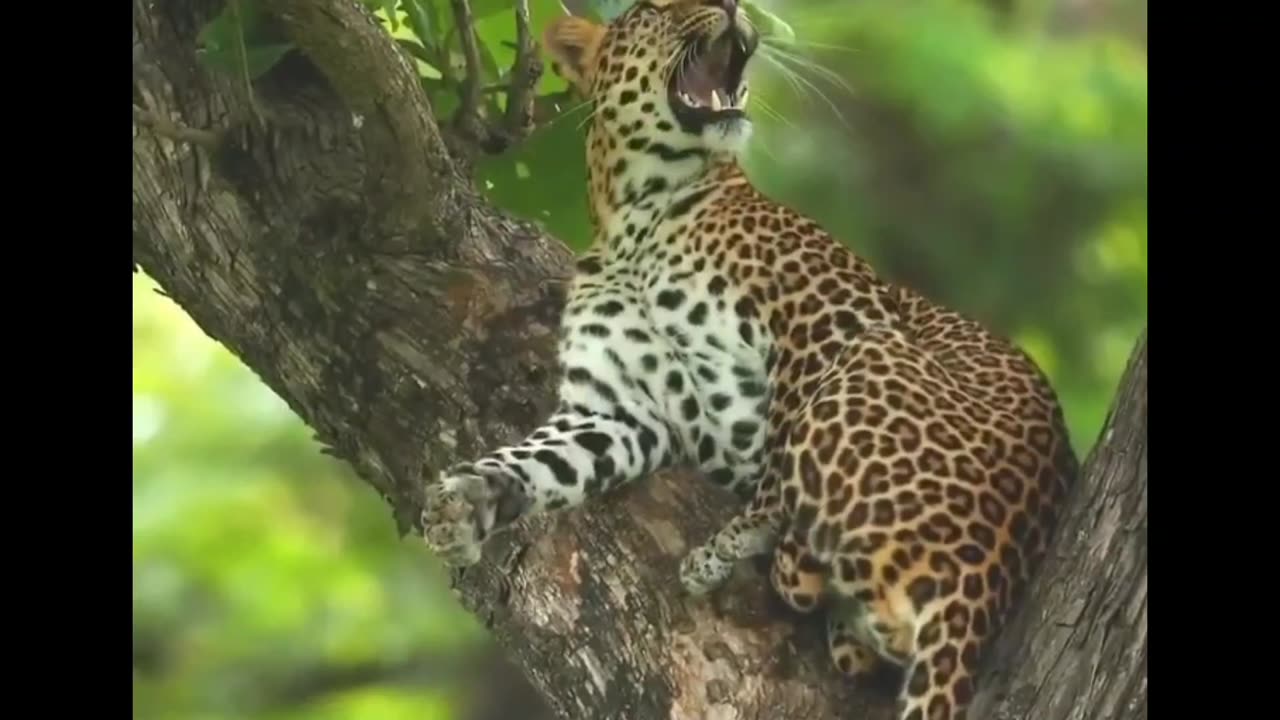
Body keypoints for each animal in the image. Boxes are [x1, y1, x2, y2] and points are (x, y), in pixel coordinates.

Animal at [419, 1, 1080, 717]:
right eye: (656, 8)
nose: (733, 6)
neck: (637, 211)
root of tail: (985, 573)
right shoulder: (618, 408)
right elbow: (539, 461)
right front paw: (465, 501)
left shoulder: (834, 314)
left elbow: (781, 450)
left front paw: (740, 533)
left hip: (871, 359)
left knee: (808, 563)